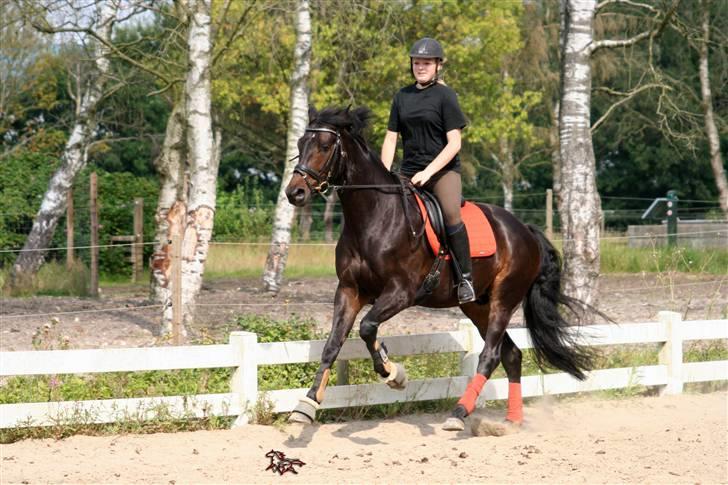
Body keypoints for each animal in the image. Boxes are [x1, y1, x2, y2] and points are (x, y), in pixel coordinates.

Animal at [282, 107, 596, 432]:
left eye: (325, 146)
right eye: (300, 144)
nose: (295, 193)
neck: (373, 217)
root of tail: (525, 230)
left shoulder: (401, 292)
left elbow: (367, 327)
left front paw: (393, 374)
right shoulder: (349, 290)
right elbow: (333, 345)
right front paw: (306, 406)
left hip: (504, 299)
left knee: (491, 354)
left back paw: (459, 413)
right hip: (477, 306)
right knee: (512, 355)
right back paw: (511, 420)